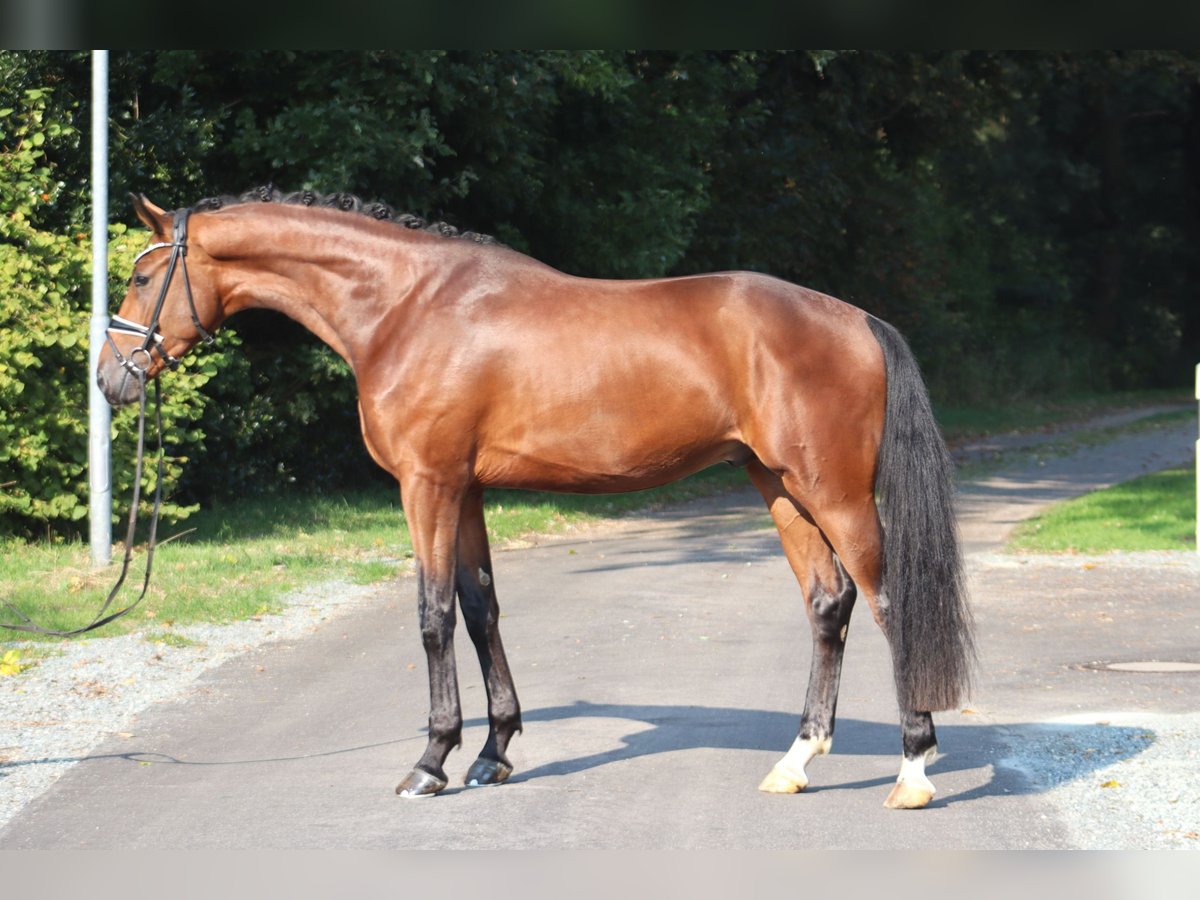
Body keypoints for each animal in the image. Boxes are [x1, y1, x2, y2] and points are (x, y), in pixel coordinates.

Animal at [96, 190, 974, 811]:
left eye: (140, 277)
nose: (111, 379)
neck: (407, 308)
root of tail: (856, 318)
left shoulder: (428, 485)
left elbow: (433, 615)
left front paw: (430, 762)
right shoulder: (467, 490)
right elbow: (480, 607)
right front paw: (492, 753)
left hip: (835, 492)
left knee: (889, 601)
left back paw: (913, 769)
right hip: (779, 485)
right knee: (829, 602)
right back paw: (796, 761)